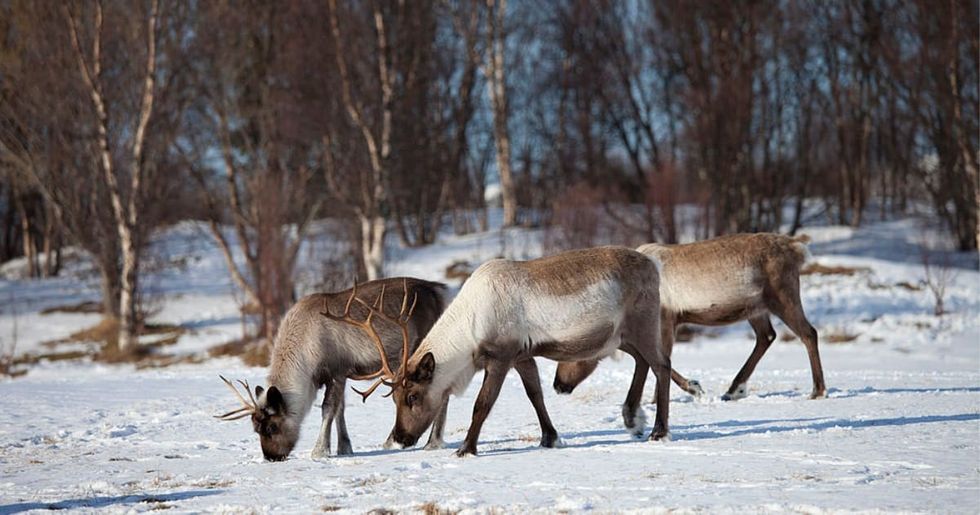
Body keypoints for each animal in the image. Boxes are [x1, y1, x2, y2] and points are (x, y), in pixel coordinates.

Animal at [215, 278, 450, 462]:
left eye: (272, 427)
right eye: (255, 428)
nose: (271, 457)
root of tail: (439, 290)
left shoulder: (337, 371)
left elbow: (328, 408)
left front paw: (320, 451)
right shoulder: (339, 376)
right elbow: (340, 410)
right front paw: (344, 448)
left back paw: (431, 441)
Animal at [349, 246, 670, 457]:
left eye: (413, 396)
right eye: (395, 399)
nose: (401, 437)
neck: (472, 328)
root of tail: (653, 265)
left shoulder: (501, 357)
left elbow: (482, 403)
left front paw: (466, 448)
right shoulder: (523, 356)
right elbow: (535, 394)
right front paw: (550, 438)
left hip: (641, 323)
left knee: (661, 364)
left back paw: (659, 430)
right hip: (622, 336)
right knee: (643, 362)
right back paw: (633, 419)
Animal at [553, 233, 824, 435]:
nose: (558, 385)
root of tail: (797, 247)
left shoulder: (666, 318)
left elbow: (663, 359)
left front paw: (689, 389)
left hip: (782, 295)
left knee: (808, 332)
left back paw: (818, 390)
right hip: (755, 307)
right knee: (767, 336)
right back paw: (734, 388)